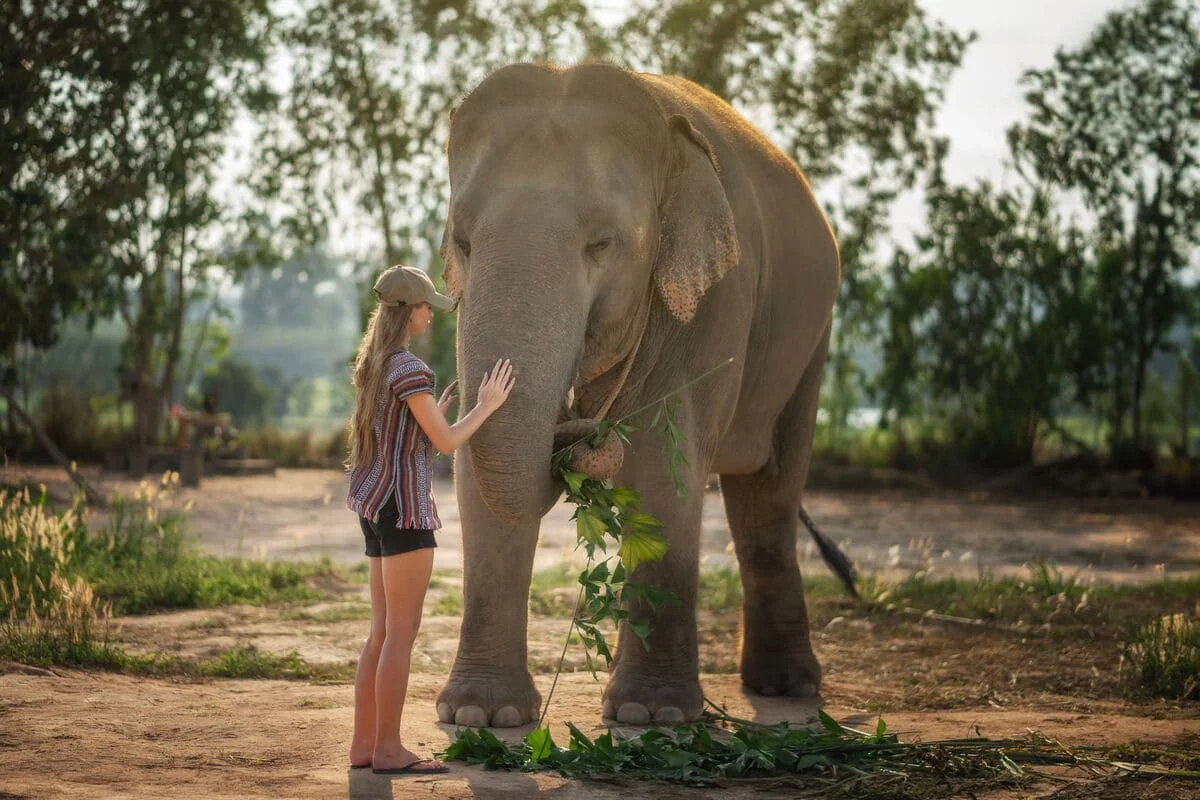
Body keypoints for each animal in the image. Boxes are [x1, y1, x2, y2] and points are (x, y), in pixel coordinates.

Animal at [435, 62, 853, 728]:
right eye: (463, 241)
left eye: (602, 244)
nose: (574, 437)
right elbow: (476, 464)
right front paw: (479, 717)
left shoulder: (716, 300)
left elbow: (660, 463)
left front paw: (649, 715)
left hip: (811, 339)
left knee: (770, 492)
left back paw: (785, 688)